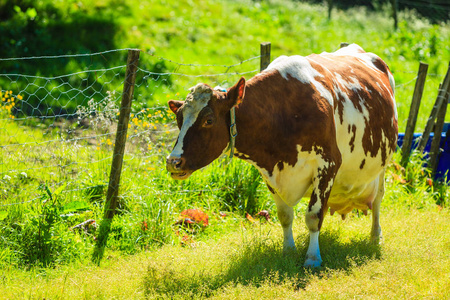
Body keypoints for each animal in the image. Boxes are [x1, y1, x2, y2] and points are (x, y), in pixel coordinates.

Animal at [165, 44, 398, 268]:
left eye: (209, 120)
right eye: (178, 119)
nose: (173, 161)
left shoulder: (328, 163)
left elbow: (313, 215)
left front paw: (312, 258)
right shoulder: (270, 172)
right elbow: (285, 216)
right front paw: (288, 251)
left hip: (383, 166)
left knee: (378, 200)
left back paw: (375, 237)